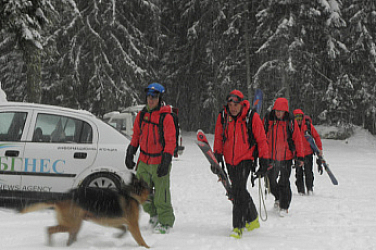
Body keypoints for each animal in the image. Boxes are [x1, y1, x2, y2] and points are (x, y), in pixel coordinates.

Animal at [19, 174, 151, 248]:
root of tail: (62, 197)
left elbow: (123, 229)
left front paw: (119, 236)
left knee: (66, 236)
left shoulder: (112, 222)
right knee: (49, 229)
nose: (153, 191)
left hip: (76, 224)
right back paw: (51, 245)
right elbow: (141, 239)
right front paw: (147, 247)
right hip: (72, 224)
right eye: (149, 188)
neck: (132, 195)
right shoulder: (133, 225)